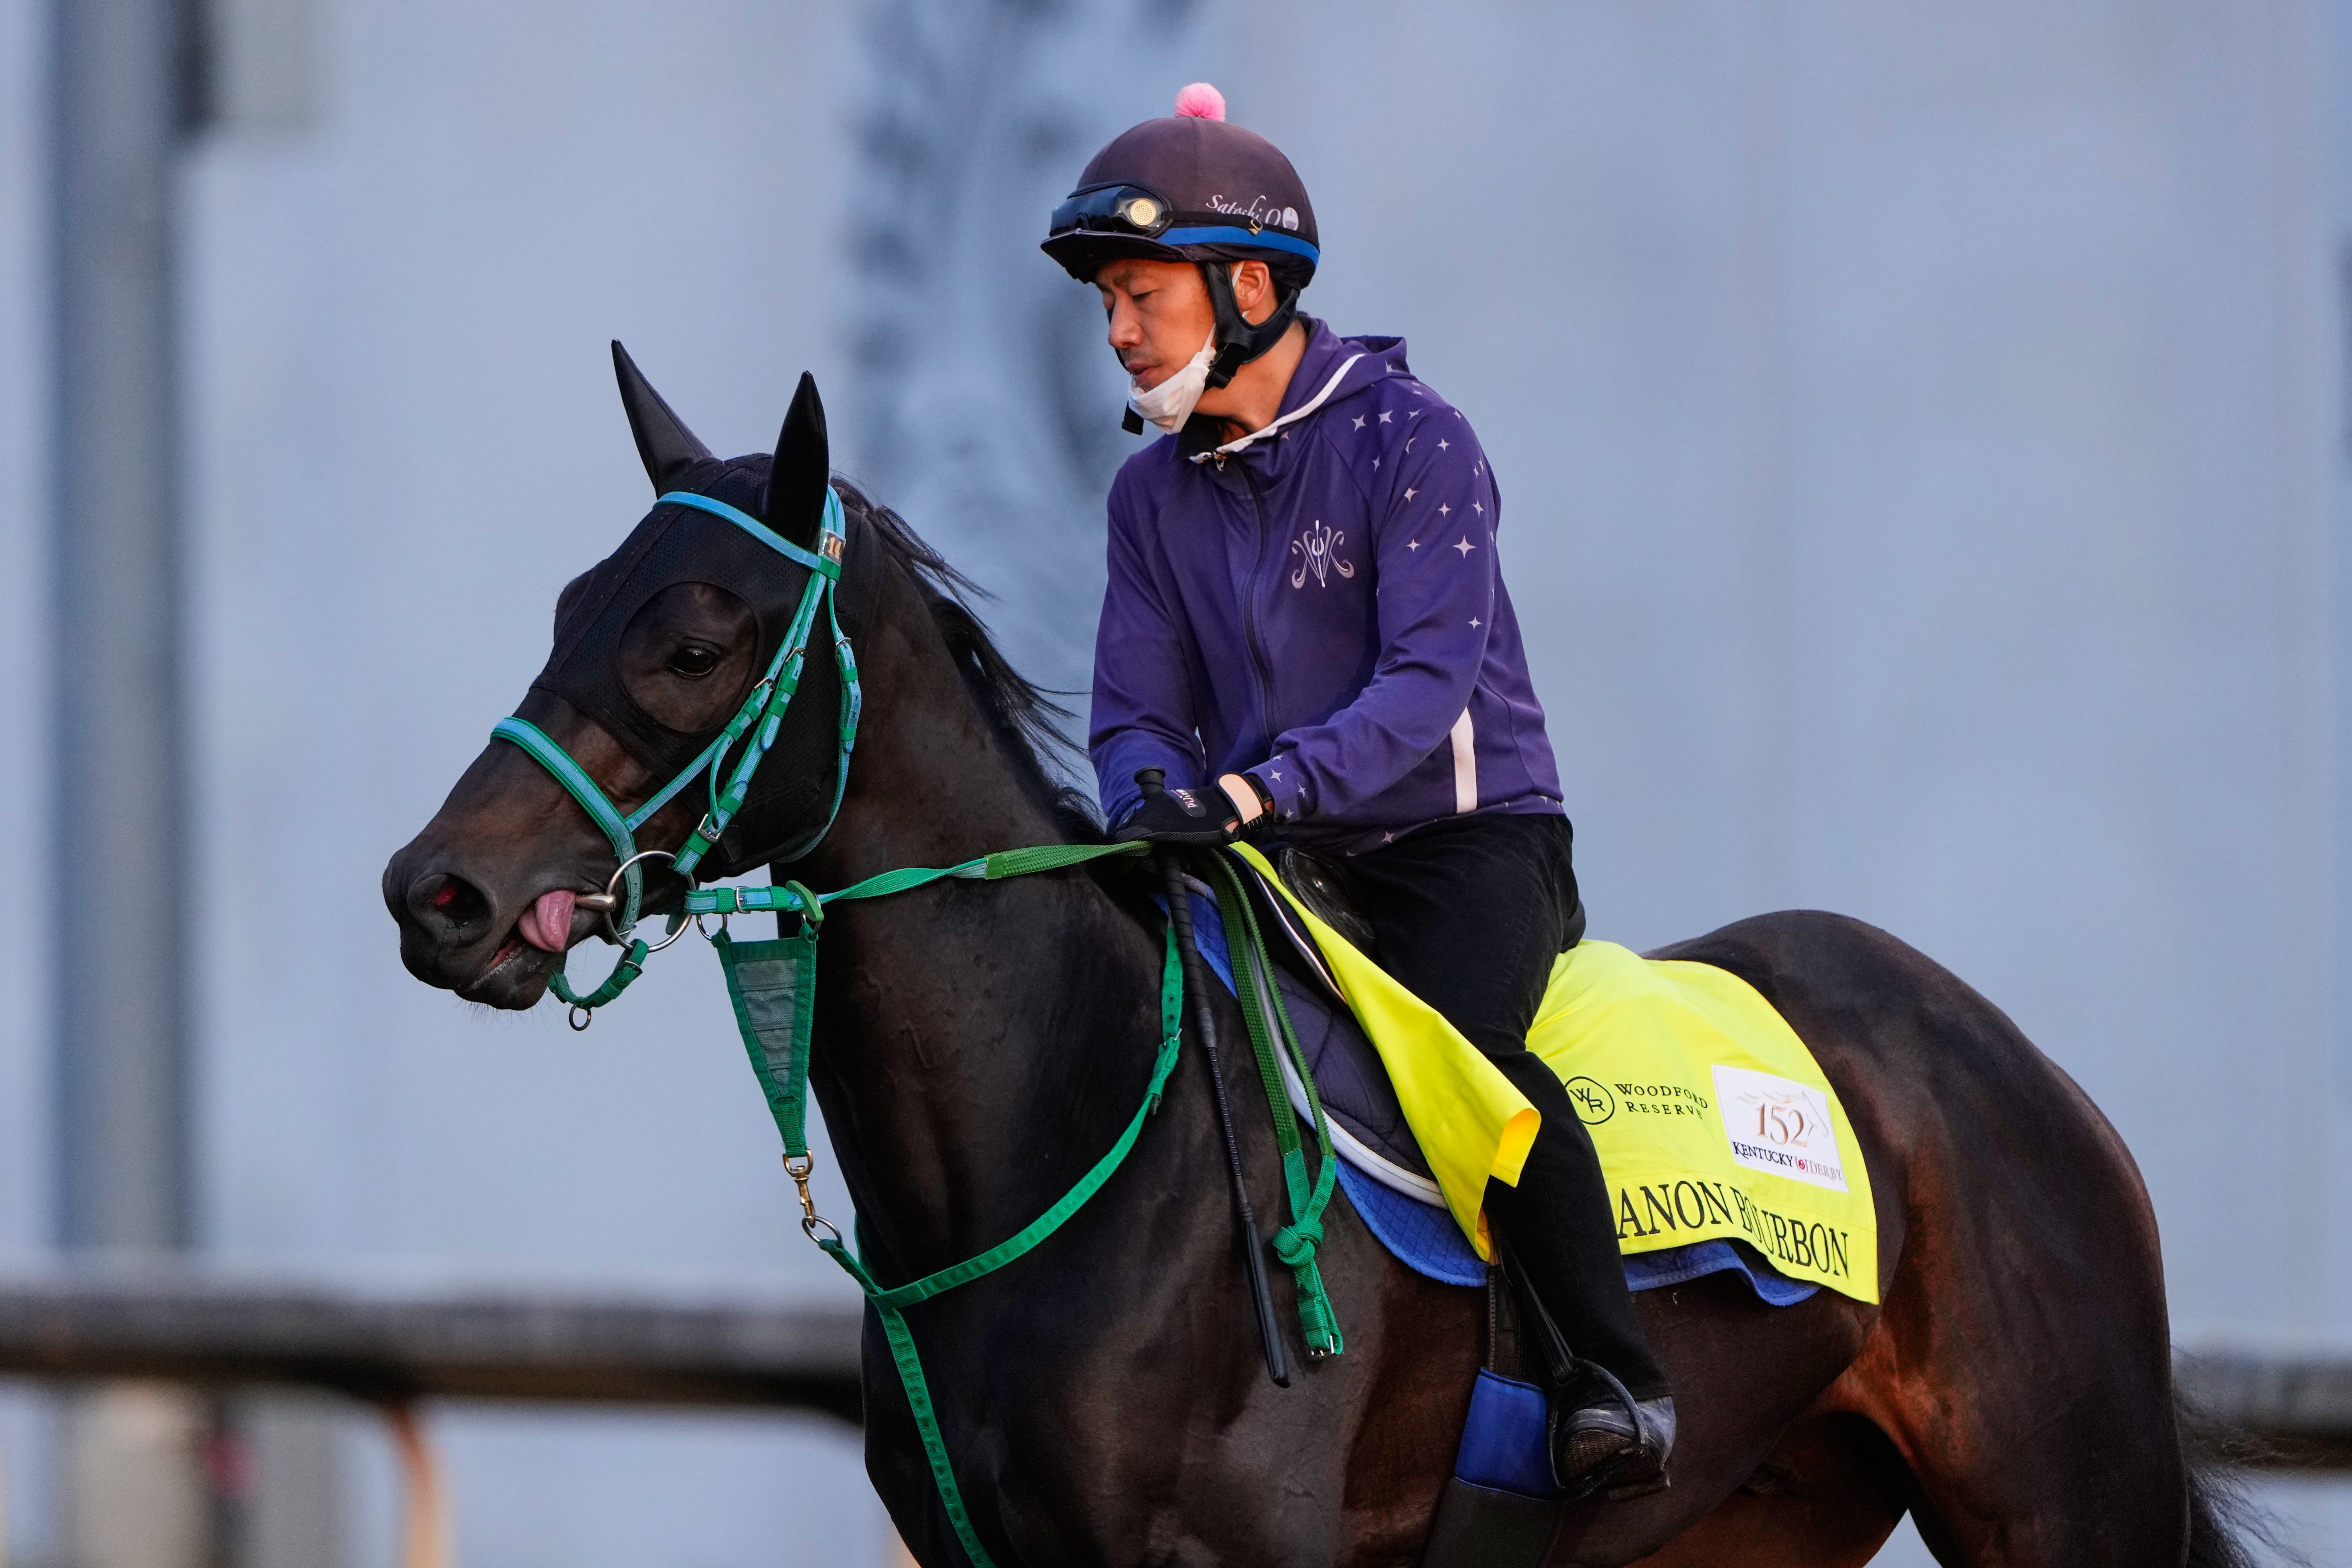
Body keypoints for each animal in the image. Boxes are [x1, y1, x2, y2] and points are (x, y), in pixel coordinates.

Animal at [383, 350, 2256, 1567]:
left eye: (697, 642)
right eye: (567, 605)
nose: (438, 892)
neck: (1061, 1136)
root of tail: (2018, 1067)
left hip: (2058, 1501)